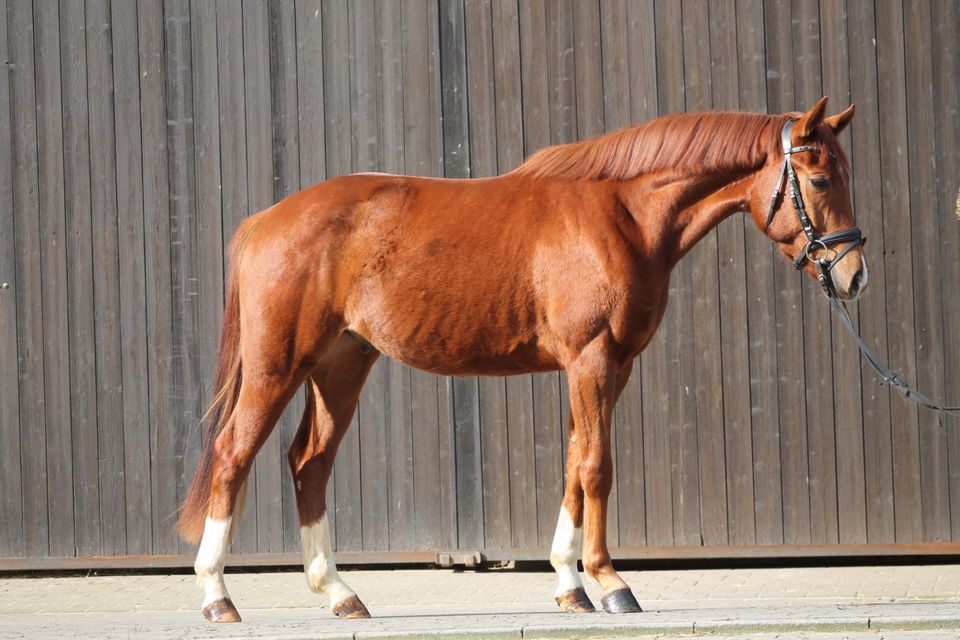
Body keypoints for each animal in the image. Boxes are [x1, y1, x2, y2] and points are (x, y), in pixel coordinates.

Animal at [174, 99, 872, 620]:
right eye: (819, 179)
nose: (854, 274)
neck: (622, 214)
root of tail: (267, 219)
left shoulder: (609, 367)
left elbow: (572, 463)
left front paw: (569, 586)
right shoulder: (592, 361)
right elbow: (596, 467)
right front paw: (611, 584)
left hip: (342, 365)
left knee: (309, 464)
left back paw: (341, 594)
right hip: (278, 367)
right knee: (233, 456)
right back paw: (217, 597)